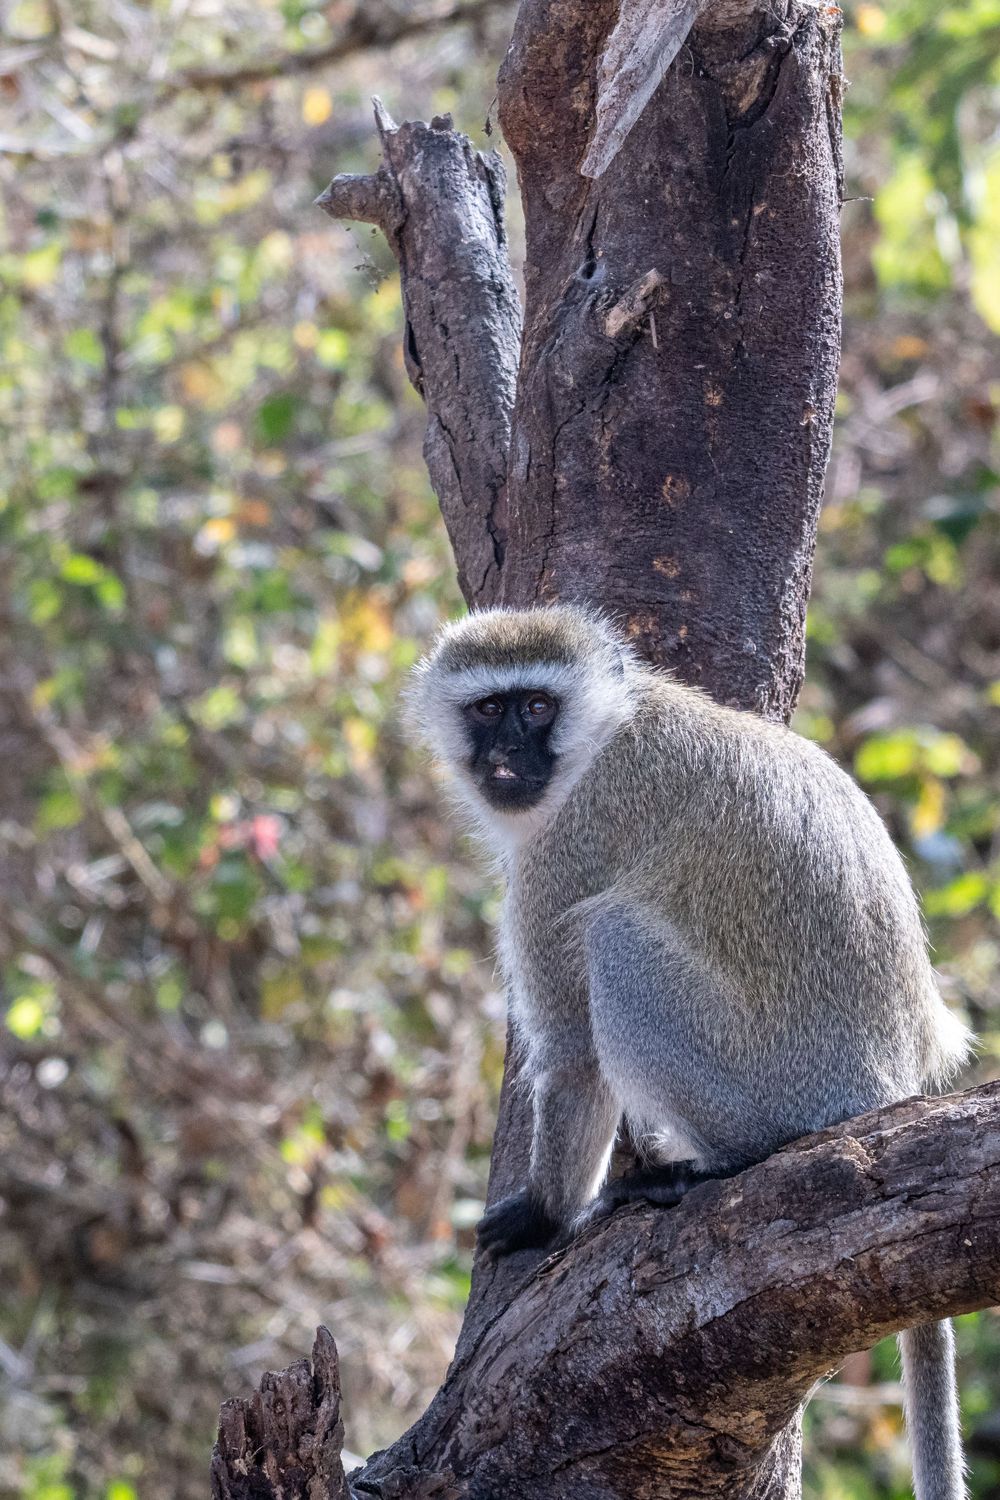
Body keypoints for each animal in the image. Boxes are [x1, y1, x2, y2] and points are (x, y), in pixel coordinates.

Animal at [407, 602, 972, 1500]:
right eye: (490, 708)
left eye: (537, 707)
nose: (505, 757)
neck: (607, 731)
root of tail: (885, 1090)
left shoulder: (566, 848)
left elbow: (574, 1058)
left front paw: (543, 1215)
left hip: (763, 1083)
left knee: (613, 934)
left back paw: (722, 1164)